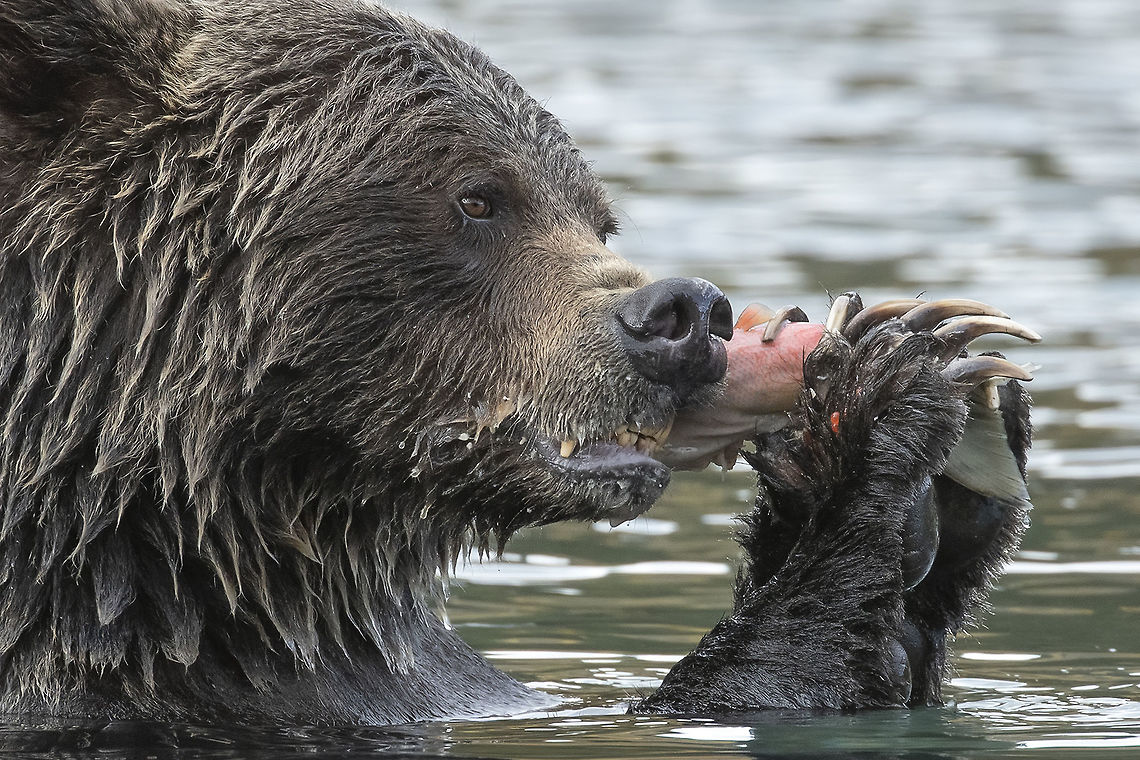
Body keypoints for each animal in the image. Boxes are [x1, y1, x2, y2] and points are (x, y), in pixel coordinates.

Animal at [0, 0, 1036, 724]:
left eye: (592, 212)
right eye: (477, 196)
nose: (684, 314)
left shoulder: (426, 681)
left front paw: (937, 464)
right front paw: (879, 411)